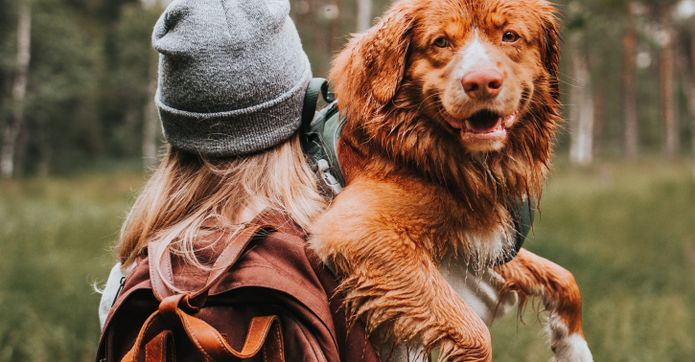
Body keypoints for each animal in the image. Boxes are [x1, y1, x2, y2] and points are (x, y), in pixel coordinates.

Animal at [310, 1, 592, 360]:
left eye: (510, 36)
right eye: (441, 42)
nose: (482, 82)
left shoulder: (477, 242)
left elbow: (564, 277)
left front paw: (573, 347)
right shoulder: (357, 230)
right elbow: (474, 332)